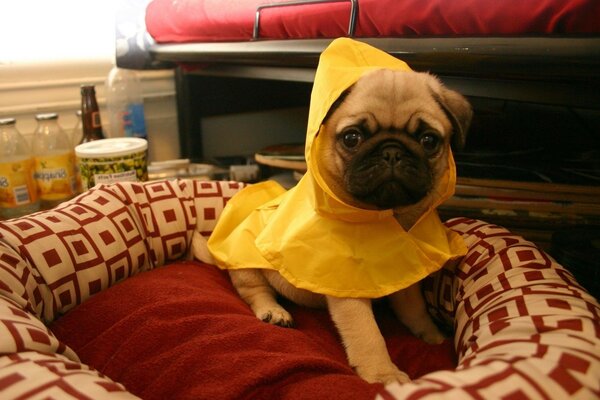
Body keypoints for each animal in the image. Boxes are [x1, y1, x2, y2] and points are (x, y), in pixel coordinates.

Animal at [191, 69, 468, 384]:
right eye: (352, 138)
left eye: (429, 140)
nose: (392, 152)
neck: (386, 217)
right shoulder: (348, 289)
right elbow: (367, 334)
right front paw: (384, 374)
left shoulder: (405, 276)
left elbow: (415, 310)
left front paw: (431, 335)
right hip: (247, 267)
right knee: (254, 292)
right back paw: (274, 311)